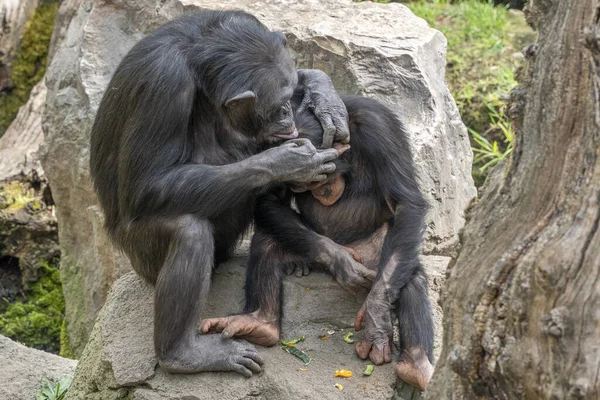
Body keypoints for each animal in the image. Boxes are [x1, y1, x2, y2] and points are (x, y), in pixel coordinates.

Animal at [88, 10, 376, 378]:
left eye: (288, 98)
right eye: (277, 106)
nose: (288, 113)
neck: (197, 63)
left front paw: (325, 96)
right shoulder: (164, 85)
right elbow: (148, 182)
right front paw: (289, 162)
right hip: (139, 257)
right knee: (189, 232)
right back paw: (183, 354)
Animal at [203, 94, 436, 390]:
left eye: (319, 176)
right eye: (300, 183)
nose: (320, 191)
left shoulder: (380, 127)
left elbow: (405, 204)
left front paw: (376, 322)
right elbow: (269, 199)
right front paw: (339, 261)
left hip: (374, 256)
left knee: (409, 275)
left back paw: (415, 368)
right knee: (267, 240)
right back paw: (259, 322)